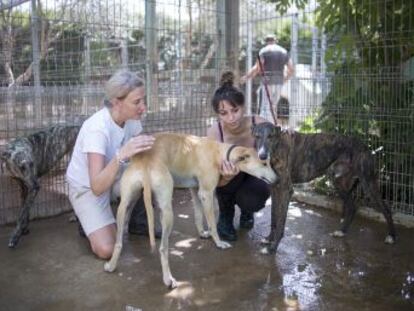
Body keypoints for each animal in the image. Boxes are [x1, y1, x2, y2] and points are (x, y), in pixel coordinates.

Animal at [251, 121, 396, 254]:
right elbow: (273, 217)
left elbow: (281, 221)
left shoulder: (286, 189)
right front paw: (269, 238)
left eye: (271, 136)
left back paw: (391, 236)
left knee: (386, 209)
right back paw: (341, 231)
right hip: (339, 183)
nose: (262, 156)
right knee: (352, 206)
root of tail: (366, 147)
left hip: (368, 184)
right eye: (257, 136)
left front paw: (273, 247)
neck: (277, 147)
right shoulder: (274, 188)